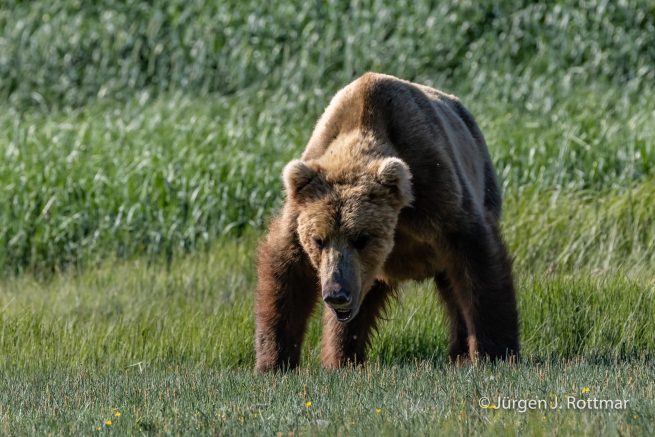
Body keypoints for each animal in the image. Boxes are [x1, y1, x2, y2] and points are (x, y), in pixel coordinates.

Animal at [255, 72, 519, 372]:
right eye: (318, 240)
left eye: (362, 238)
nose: (336, 293)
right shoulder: (301, 203)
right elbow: (286, 271)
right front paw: (274, 362)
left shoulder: (434, 188)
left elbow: (476, 259)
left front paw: (496, 352)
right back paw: (343, 359)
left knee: (453, 288)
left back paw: (460, 353)